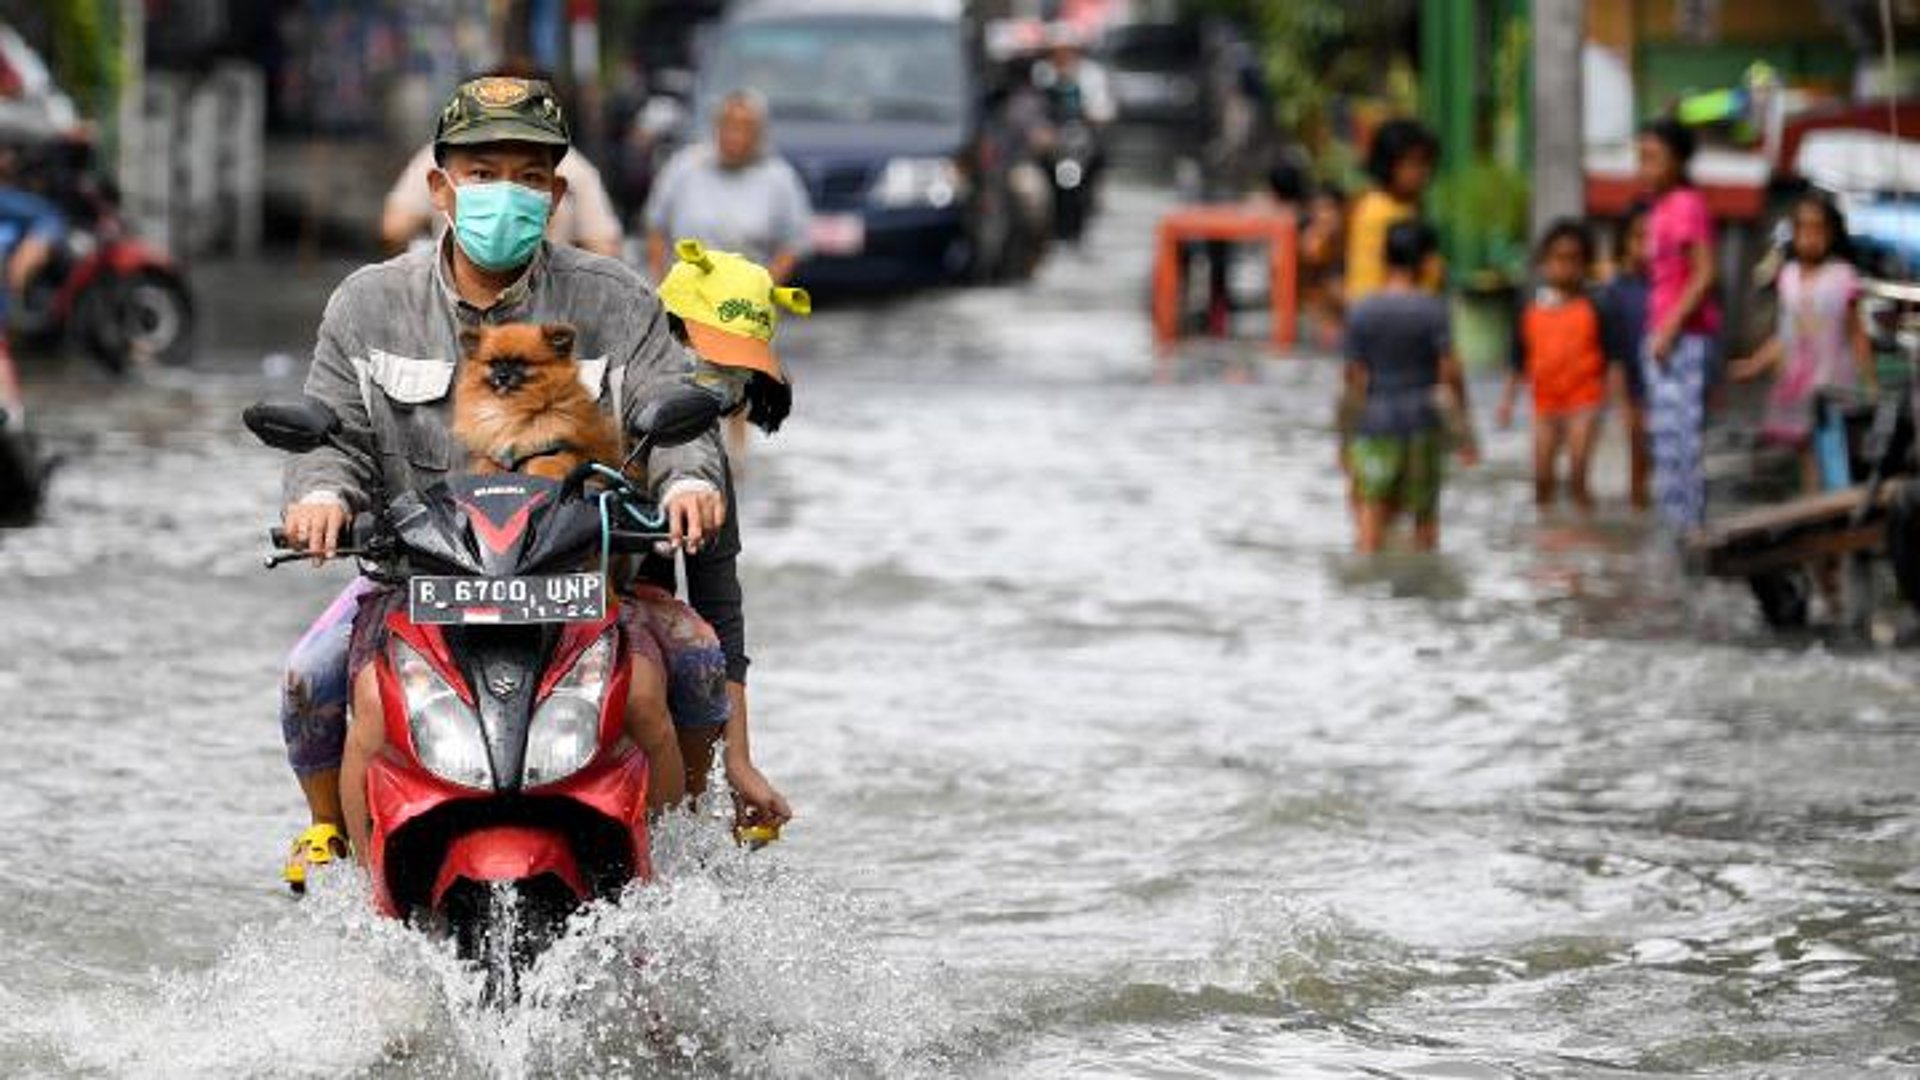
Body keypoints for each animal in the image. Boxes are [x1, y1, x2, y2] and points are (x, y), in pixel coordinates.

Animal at [449, 319, 614, 478]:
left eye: (521, 363)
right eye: (494, 363)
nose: (502, 376)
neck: (514, 406)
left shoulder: (570, 451)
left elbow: (544, 462)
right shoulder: (496, 454)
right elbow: (486, 463)